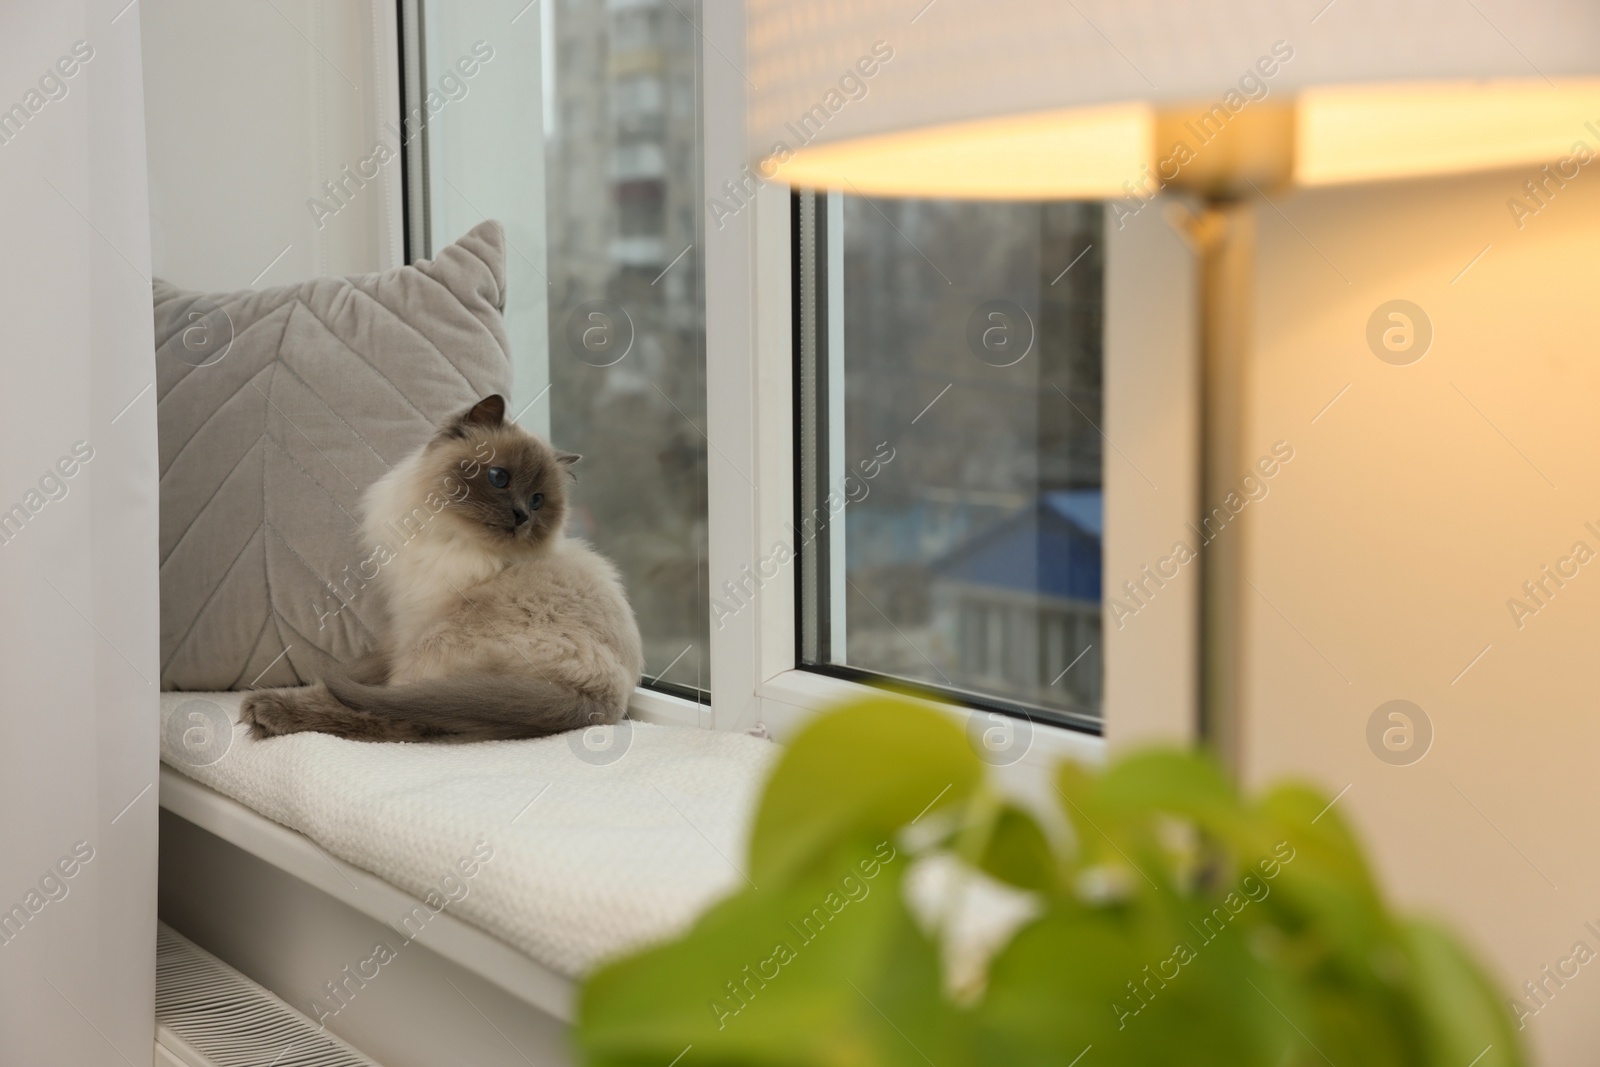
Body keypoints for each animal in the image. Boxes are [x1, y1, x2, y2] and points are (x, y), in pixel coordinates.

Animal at [240, 395, 640, 742]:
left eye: (538, 501)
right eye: (499, 478)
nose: (522, 516)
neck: (450, 537)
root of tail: (603, 700)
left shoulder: (415, 627)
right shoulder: (400, 630)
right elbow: (361, 671)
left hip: (435, 645)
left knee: (397, 717)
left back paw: (266, 710)